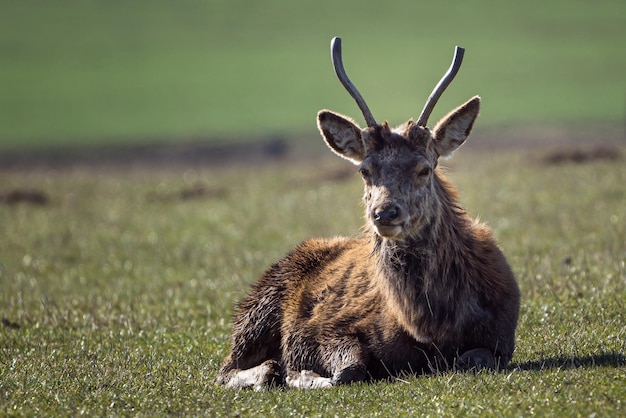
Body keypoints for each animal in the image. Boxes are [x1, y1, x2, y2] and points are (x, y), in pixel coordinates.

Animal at [214, 37, 516, 390]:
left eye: (424, 169)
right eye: (364, 170)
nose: (384, 212)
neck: (429, 327)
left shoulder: (501, 338)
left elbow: (475, 360)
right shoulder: (329, 328)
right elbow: (347, 370)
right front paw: (299, 373)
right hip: (257, 312)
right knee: (225, 369)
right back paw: (270, 371)